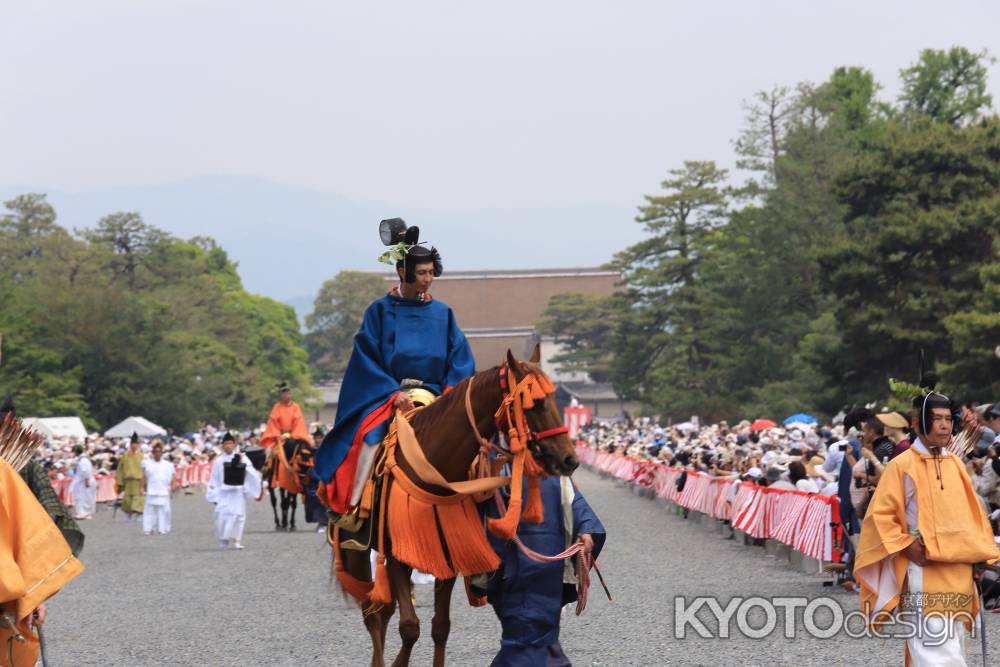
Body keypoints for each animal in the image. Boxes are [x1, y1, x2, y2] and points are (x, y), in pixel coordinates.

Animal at [334, 350, 580, 667]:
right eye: (535, 404)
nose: (570, 459)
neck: (433, 466)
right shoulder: (399, 552)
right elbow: (409, 626)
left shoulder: (449, 552)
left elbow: (440, 627)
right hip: (356, 547)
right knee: (372, 614)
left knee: (382, 611)